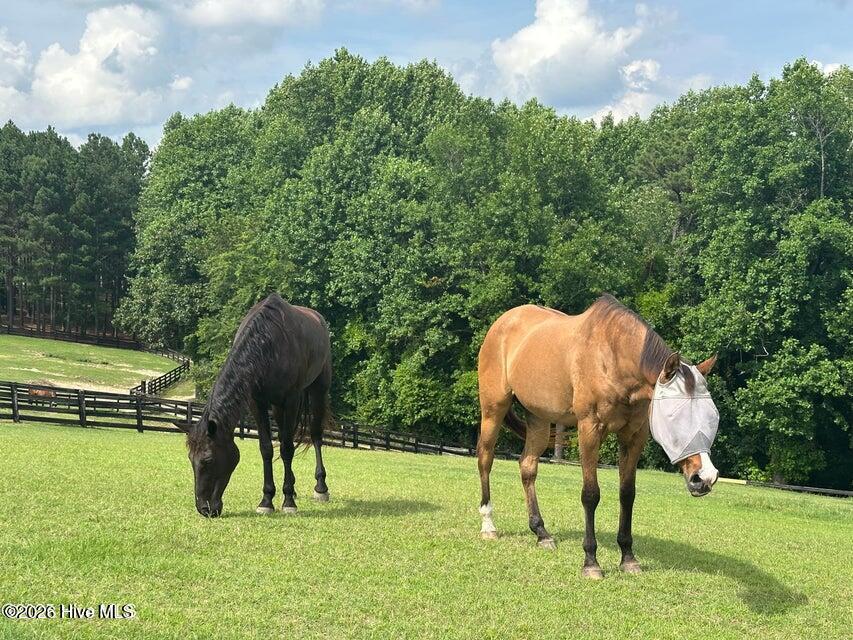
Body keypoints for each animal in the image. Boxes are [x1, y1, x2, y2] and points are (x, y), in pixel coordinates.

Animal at [175, 293, 332, 518]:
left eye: (208, 460)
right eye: (190, 459)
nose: (204, 509)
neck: (269, 343)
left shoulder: (291, 399)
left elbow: (287, 448)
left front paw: (288, 501)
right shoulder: (257, 402)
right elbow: (266, 448)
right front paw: (267, 500)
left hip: (318, 389)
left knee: (316, 435)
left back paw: (320, 488)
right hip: (278, 407)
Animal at [476, 294, 719, 579]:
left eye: (712, 415)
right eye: (674, 414)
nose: (705, 478)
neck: (613, 358)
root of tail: (502, 323)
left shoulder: (633, 436)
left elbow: (627, 494)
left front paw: (628, 558)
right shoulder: (589, 429)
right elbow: (591, 495)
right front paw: (591, 561)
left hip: (539, 419)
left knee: (528, 467)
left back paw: (541, 533)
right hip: (494, 408)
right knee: (485, 459)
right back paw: (488, 524)